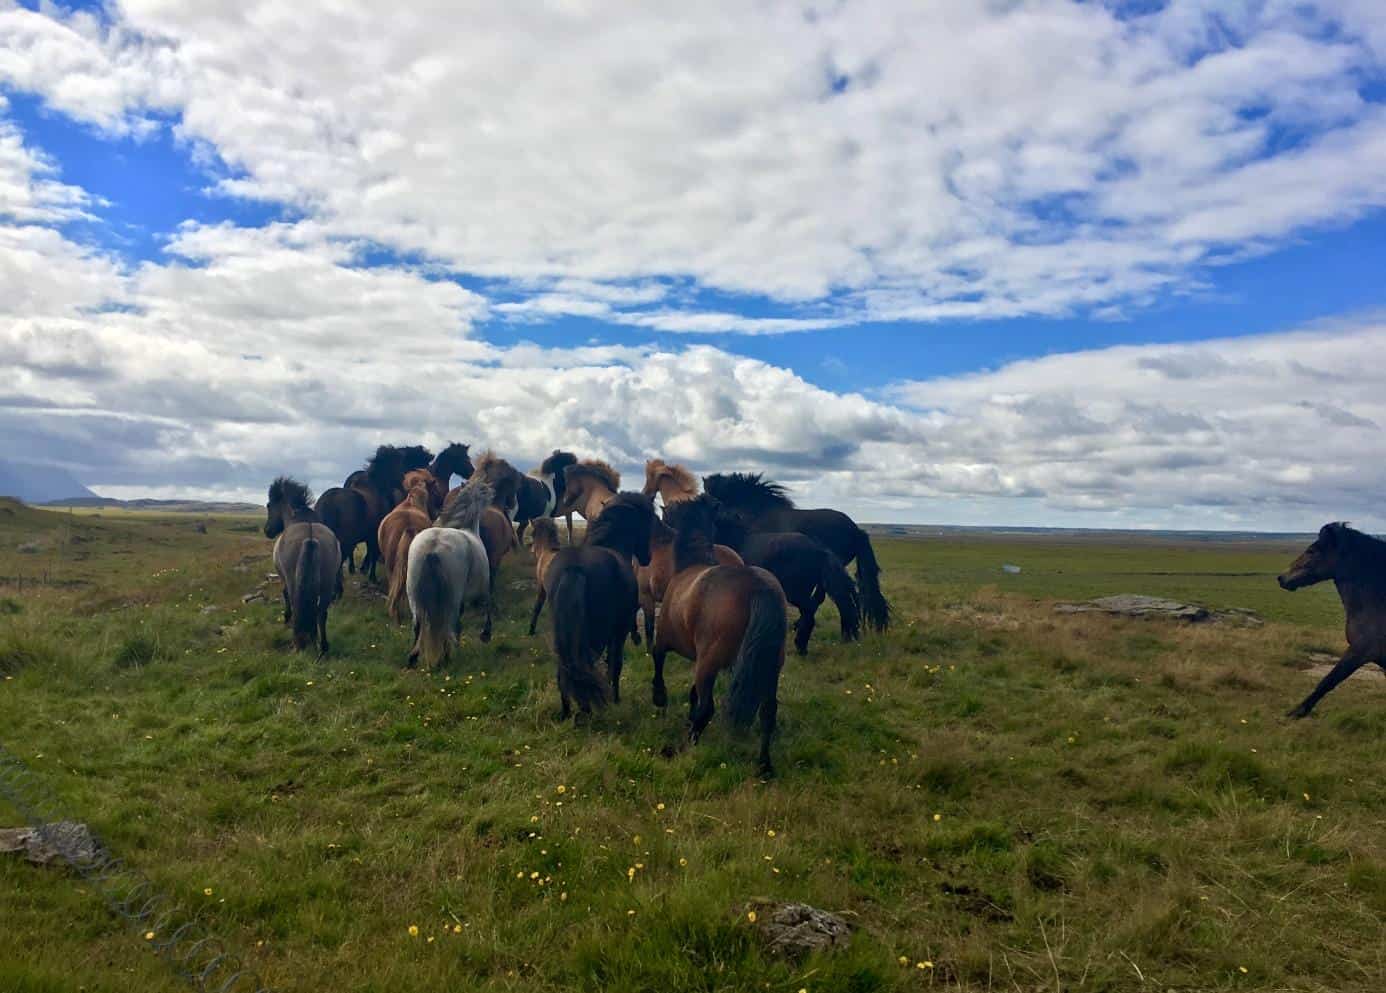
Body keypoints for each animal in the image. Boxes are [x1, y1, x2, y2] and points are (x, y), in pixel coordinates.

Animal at [264, 477, 342, 655]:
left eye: (269, 505)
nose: (267, 530)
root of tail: (310, 537)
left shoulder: (284, 579)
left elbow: (284, 594)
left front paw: (286, 617)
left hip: (295, 583)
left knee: (297, 606)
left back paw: (299, 642)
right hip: (327, 586)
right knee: (321, 613)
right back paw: (323, 647)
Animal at [407, 478, 494, 669]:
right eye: (484, 491)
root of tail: (434, 544)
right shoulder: (483, 588)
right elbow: (487, 607)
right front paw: (486, 634)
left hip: (413, 594)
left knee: (417, 625)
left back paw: (412, 659)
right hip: (452, 597)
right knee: (448, 625)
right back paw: (447, 658)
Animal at [539, 493, 655, 717]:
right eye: (647, 522)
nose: (648, 558)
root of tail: (574, 568)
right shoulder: (618, 632)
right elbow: (615, 665)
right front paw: (615, 699)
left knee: (566, 671)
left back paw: (567, 713)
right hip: (596, 636)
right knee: (585, 667)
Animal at [654, 495, 788, 777]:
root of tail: (759, 587)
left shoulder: (665, 641)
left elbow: (658, 663)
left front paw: (659, 698)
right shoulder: (699, 658)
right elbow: (694, 692)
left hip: (711, 662)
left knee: (708, 709)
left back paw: (684, 747)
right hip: (769, 667)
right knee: (768, 712)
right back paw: (764, 766)